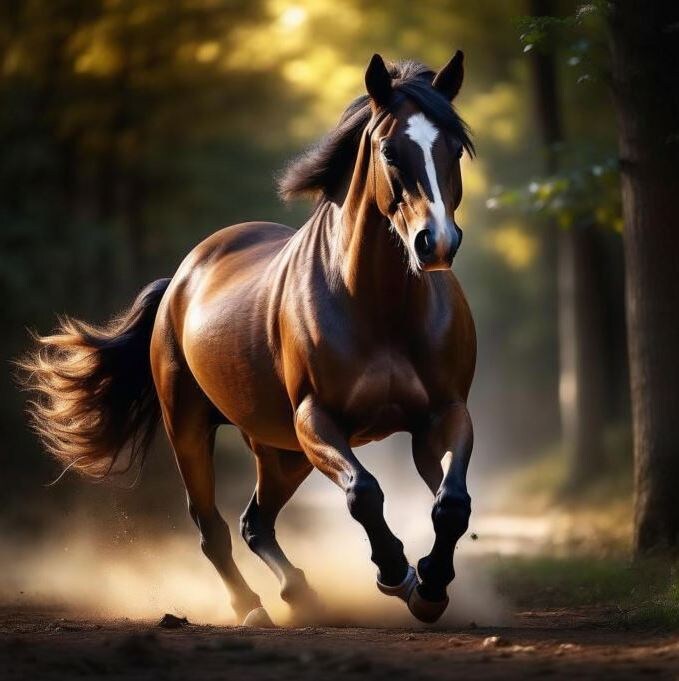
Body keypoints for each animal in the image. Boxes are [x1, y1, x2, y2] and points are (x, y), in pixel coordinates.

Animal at [20, 52, 476, 626]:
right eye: (390, 150)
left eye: (454, 147)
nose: (435, 243)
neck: (380, 307)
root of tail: (181, 278)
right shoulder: (316, 419)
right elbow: (364, 493)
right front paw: (397, 574)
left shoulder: (441, 414)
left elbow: (450, 501)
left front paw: (431, 586)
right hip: (193, 428)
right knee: (211, 526)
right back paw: (252, 607)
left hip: (280, 451)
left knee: (255, 522)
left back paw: (300, 594)